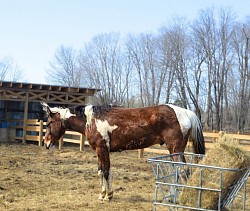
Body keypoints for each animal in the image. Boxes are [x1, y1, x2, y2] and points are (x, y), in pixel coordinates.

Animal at [41, 102, 205, 201]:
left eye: (49, 123)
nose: (46, 143)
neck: (91, 121)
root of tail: (186, 113)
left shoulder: (102, 150)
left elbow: (106, 172)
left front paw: (107, 196)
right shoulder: (100, 151)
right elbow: (101, 172)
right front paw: (104, 194)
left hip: (176, 150)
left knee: (183, 170)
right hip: (173, 151)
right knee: (176, 170)